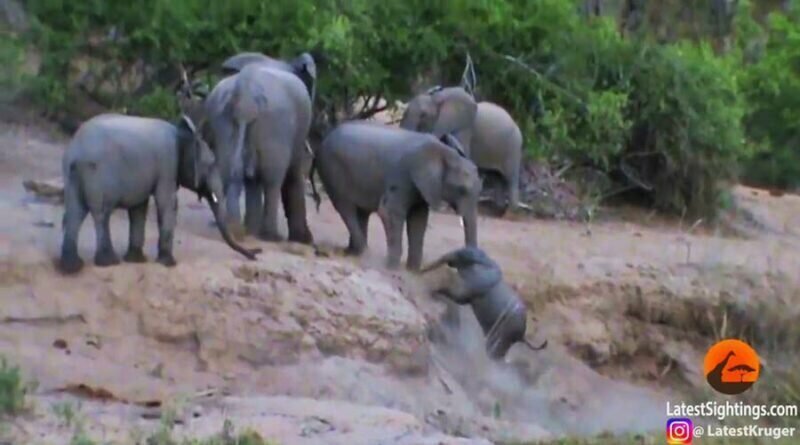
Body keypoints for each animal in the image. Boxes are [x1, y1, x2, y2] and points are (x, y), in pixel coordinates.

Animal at [58, 111, 260, 272]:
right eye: (210, 166)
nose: (256, 254)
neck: (184, 134)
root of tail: (77, 151)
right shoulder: (167, 164)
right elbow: (168, 203)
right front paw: (169, 264)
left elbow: (139, 207)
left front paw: (136, 260)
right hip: (98, 173)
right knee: (101, 213)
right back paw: (108, 262)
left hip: (71, 174)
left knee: (75, 212)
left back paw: (71, 267)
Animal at [200, 55, 312, 245]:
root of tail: (246, 92)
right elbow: (292, 174)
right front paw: (304, 240)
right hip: (275, 125)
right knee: (273, 180)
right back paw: (271, 237)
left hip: (222, 120)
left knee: (228, 171)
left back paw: (238, 229)